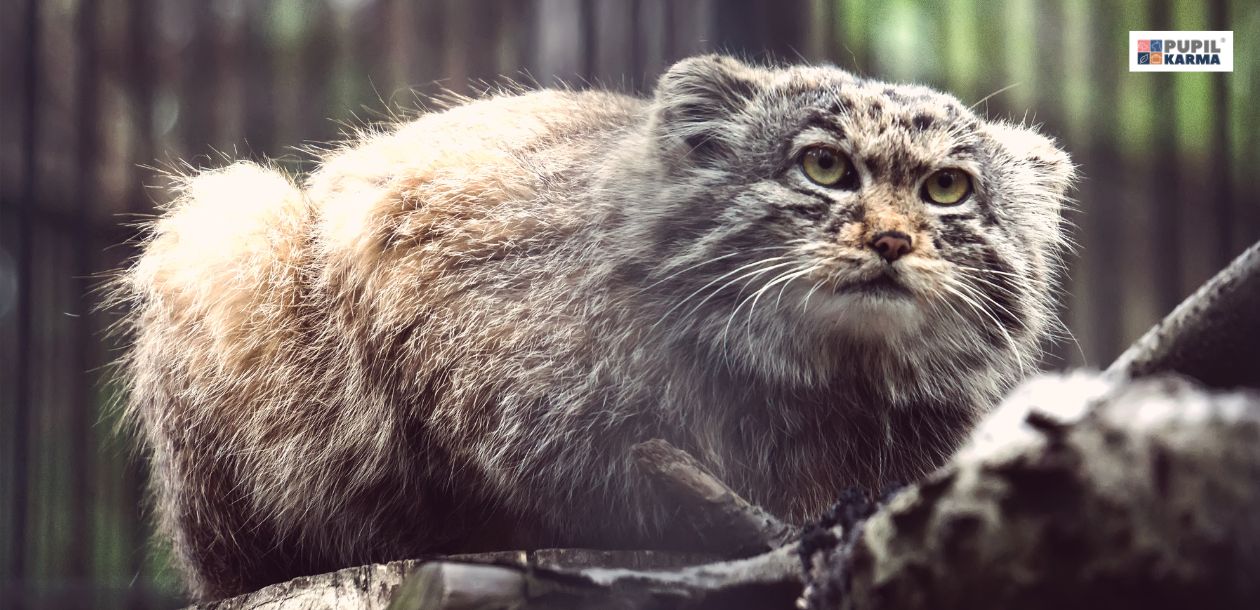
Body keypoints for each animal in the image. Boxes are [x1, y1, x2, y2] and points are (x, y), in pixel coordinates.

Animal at [113, 54, 1073, 597]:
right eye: (825, 167)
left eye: (947, 188)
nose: (891, 240)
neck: (819, 383)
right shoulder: (428, 287)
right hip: (231, 224)